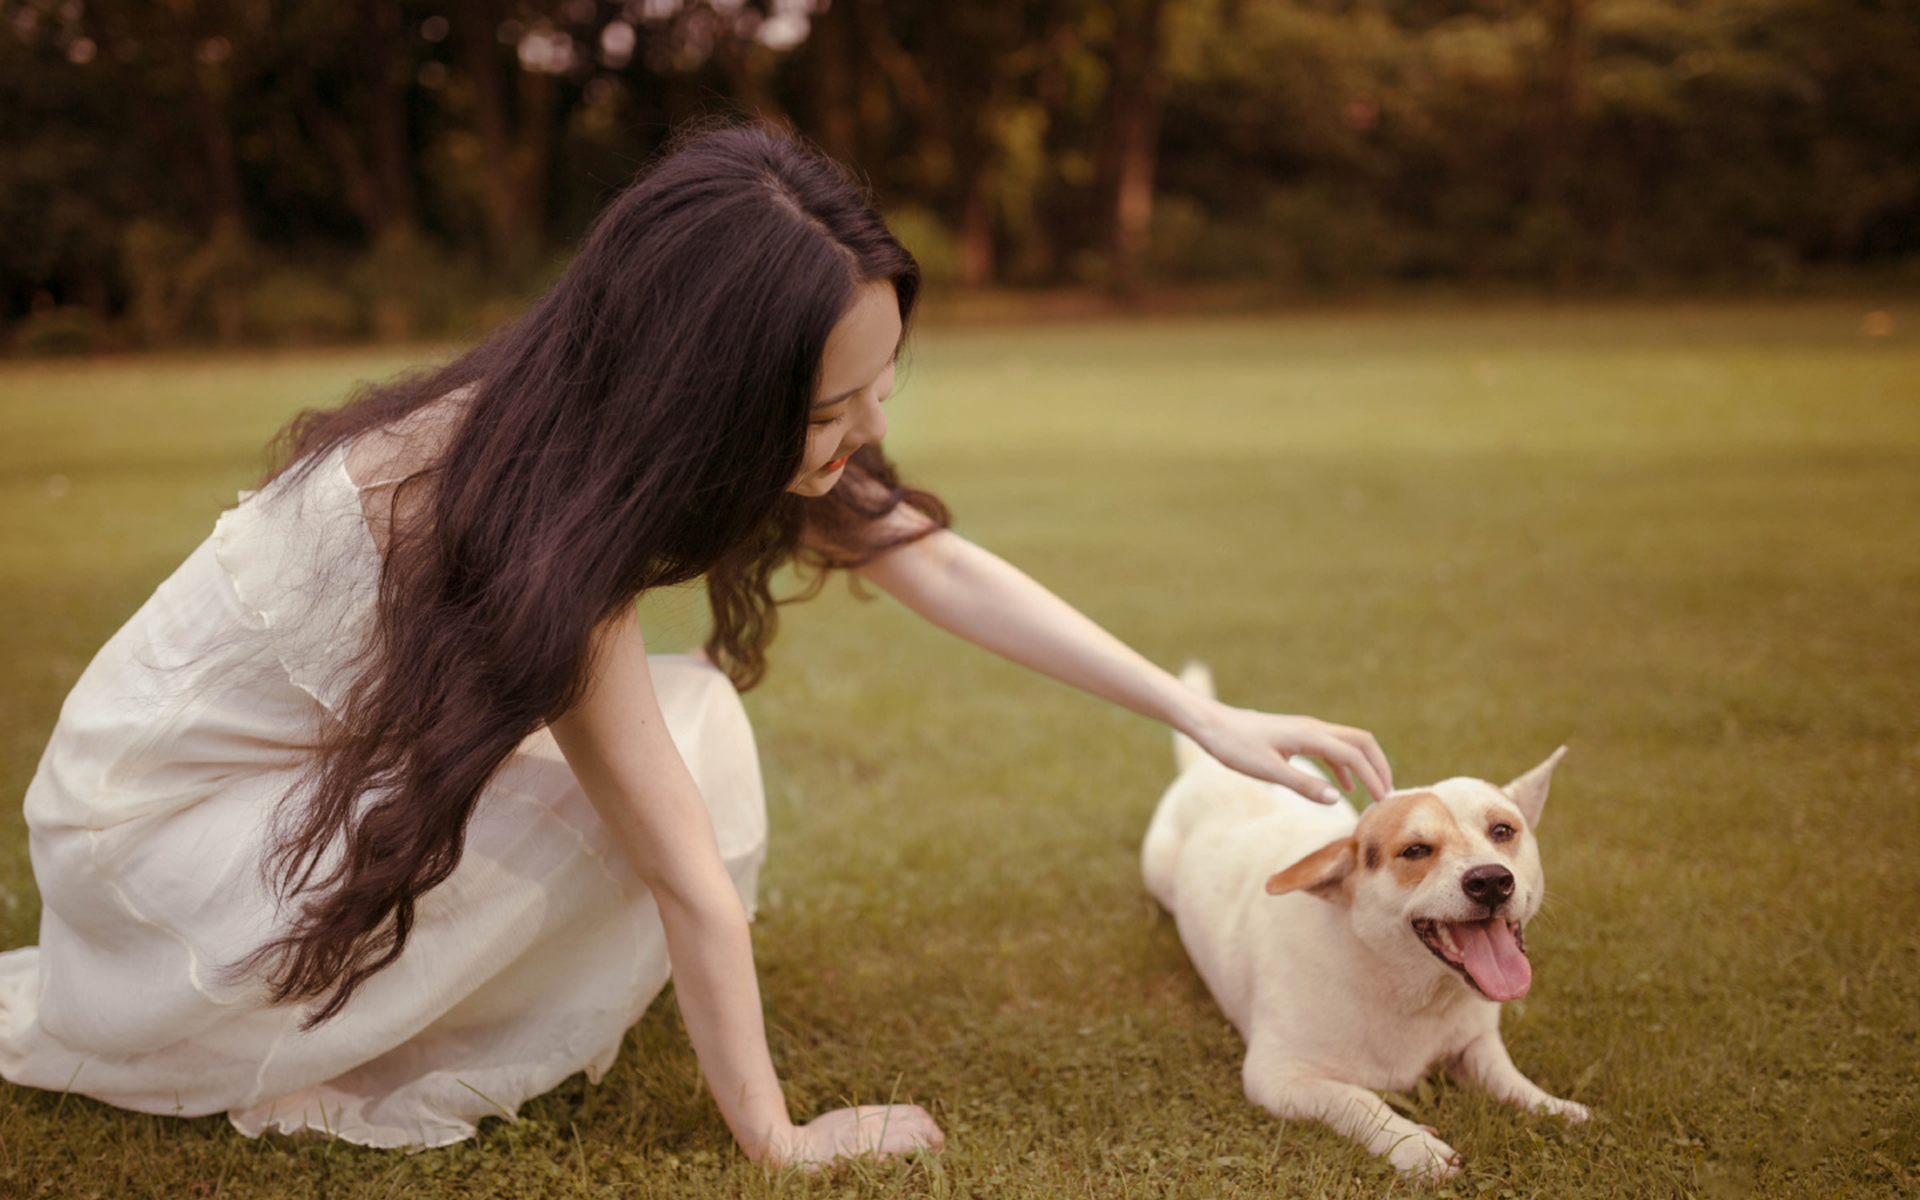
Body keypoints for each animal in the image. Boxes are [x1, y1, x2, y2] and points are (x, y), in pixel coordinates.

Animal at [1136, 664, 1589, 1182]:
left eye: (1503, 830)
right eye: (1415, 850)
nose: (1492, 881)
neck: (1409, 991)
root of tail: (1206, 765)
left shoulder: (1476, 1043)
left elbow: (1507, 1077)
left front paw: (1552, 1106)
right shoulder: (1279, 1077)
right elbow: (1357, 1100)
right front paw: (1414, 1145)